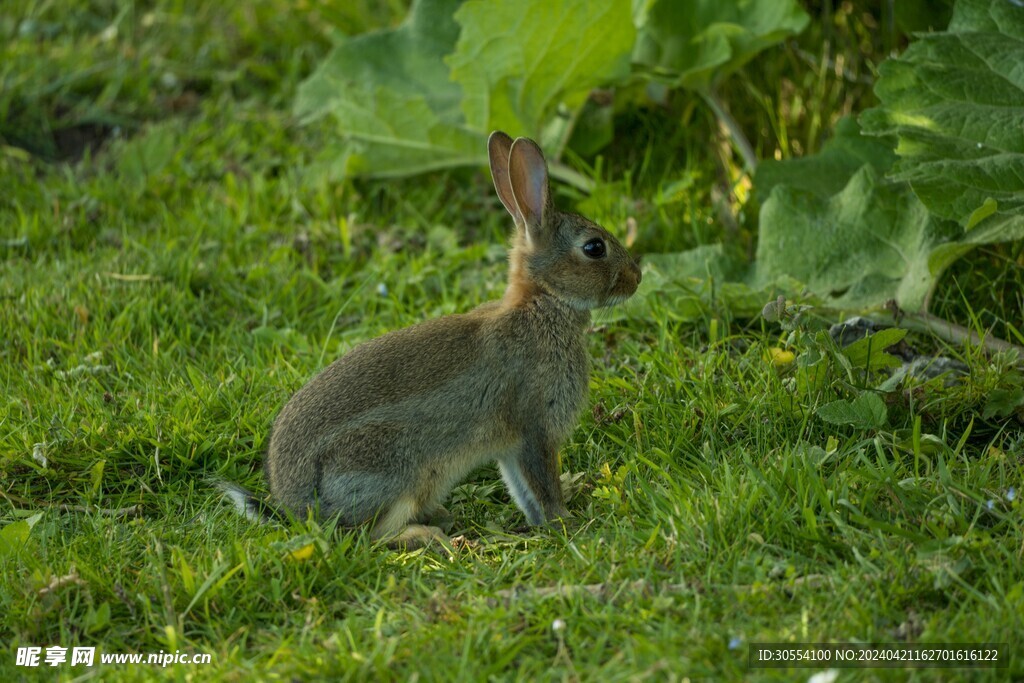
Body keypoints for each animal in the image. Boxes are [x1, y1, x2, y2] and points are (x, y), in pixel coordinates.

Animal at [223, 132, 638, 548]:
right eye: (594, 247)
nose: (636, 277)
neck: (543, 302)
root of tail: (296, 507)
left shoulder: (511, 446)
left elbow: (522, 488)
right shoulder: (534, 426)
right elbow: (541, 483)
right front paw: (565, 522)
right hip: (394, 471)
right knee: (369, 536)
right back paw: (430, 533)